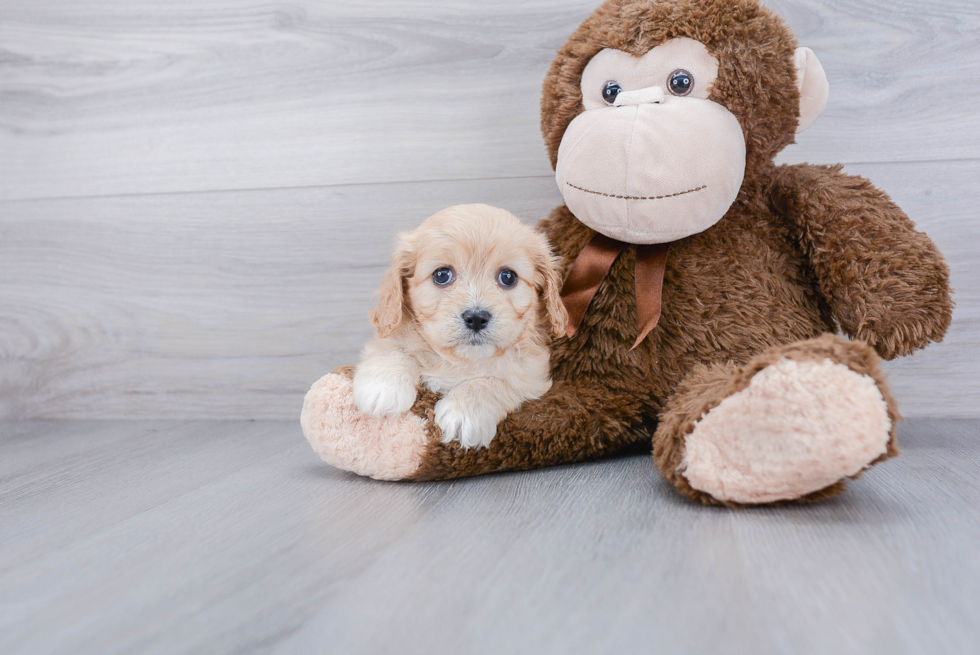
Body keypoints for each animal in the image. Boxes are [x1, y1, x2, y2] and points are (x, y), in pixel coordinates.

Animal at [352, 205, 568, 452]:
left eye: (508, 277)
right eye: (442, 275)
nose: (476, 318)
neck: (460, 361)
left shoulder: (532, 376)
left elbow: (497, 380)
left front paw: (466, 411)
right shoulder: (390, 332)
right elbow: (394, 348)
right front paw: (382, 386)